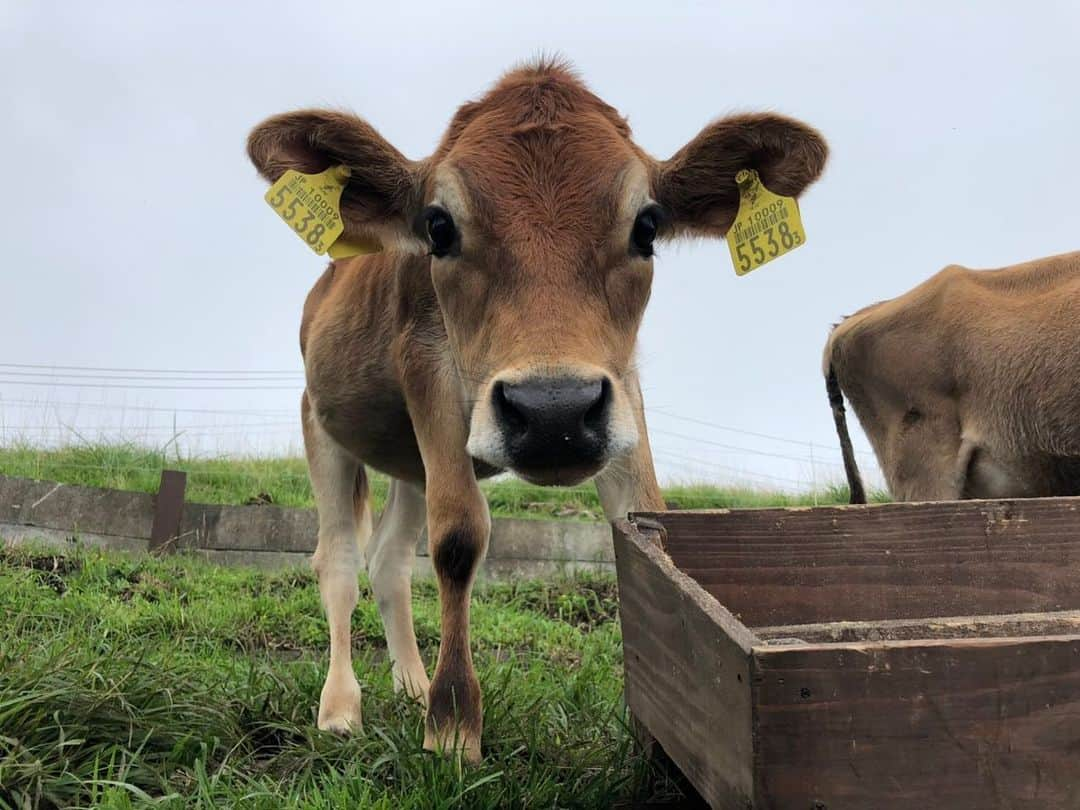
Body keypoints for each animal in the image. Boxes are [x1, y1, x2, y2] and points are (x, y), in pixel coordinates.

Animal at [250, 61, 825, 760]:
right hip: (320, 423)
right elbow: (459, 537)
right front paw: (452, 728)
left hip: (410, 464)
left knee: (388, 560)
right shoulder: (427, 370)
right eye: (438, 226)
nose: (554, 411)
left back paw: (410, 686)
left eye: (647, 226)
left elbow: (646, 521)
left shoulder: (620, 390)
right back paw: (341, 708)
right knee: (336, 558)